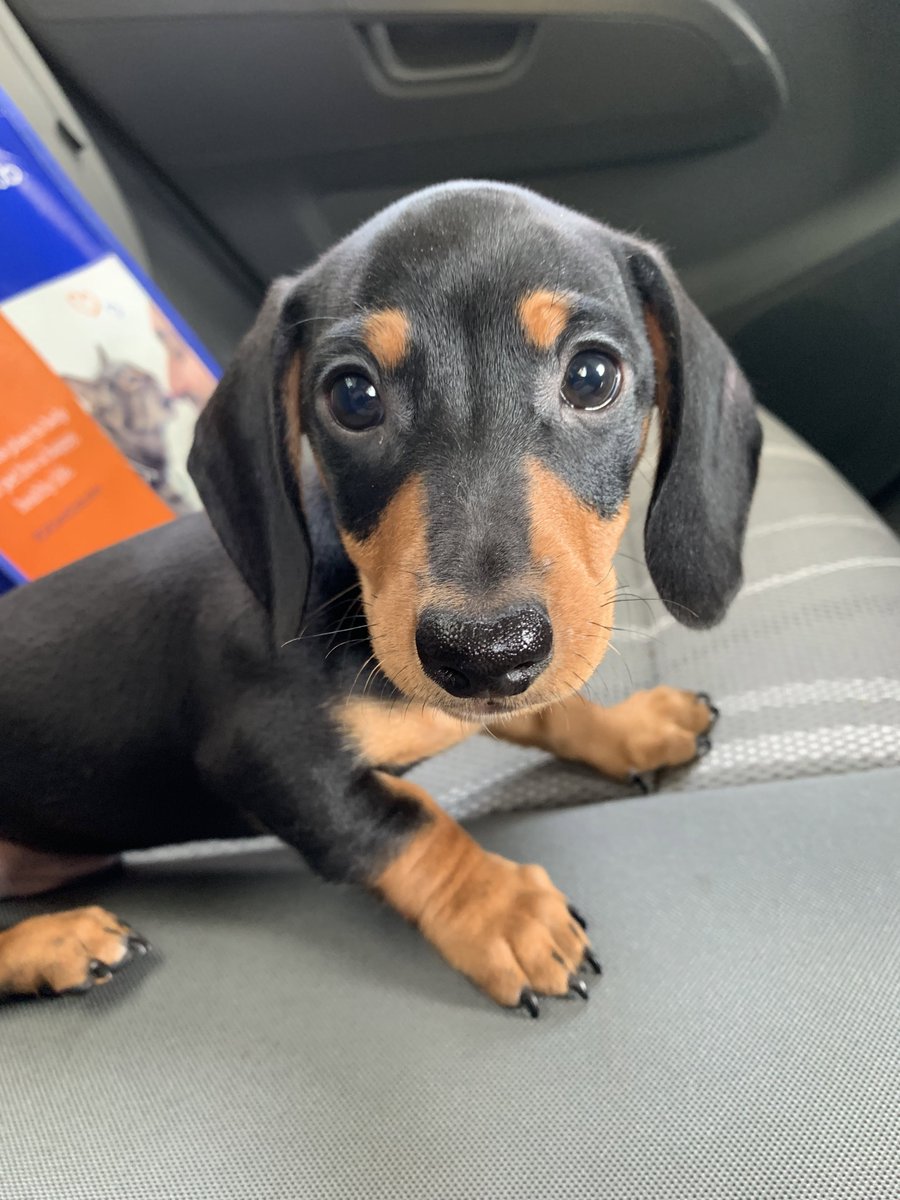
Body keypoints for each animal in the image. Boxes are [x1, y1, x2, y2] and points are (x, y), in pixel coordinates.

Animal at [0, 182, 761, 1015]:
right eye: (353, 396)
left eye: (592, 377)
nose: (483, 654)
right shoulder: (264, 758)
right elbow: (407, 823)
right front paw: (505, 912)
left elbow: (553, 707)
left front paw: (631, 725)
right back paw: (54, 942)